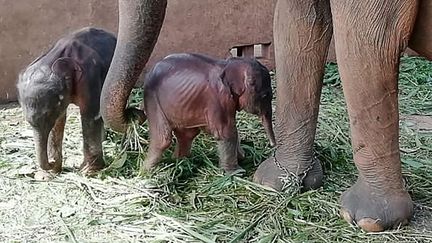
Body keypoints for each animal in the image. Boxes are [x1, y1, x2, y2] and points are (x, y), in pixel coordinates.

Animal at [17, 27, 116, 180]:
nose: (51, 162)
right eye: (27, 120)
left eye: (48, 114)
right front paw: (48, 174)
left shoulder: (89, 77)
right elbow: (58, 121)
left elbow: (90, 115)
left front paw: (88, 172)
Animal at [142, 54, 276, 174]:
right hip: (152, 99)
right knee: (163, 139)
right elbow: (226, 131)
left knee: (187, 134)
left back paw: (181, 161)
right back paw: (146, 171)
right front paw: (236, 172)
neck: (229, 64)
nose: (273, 145)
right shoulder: (218, 99)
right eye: (265, 95)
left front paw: (242, 157)